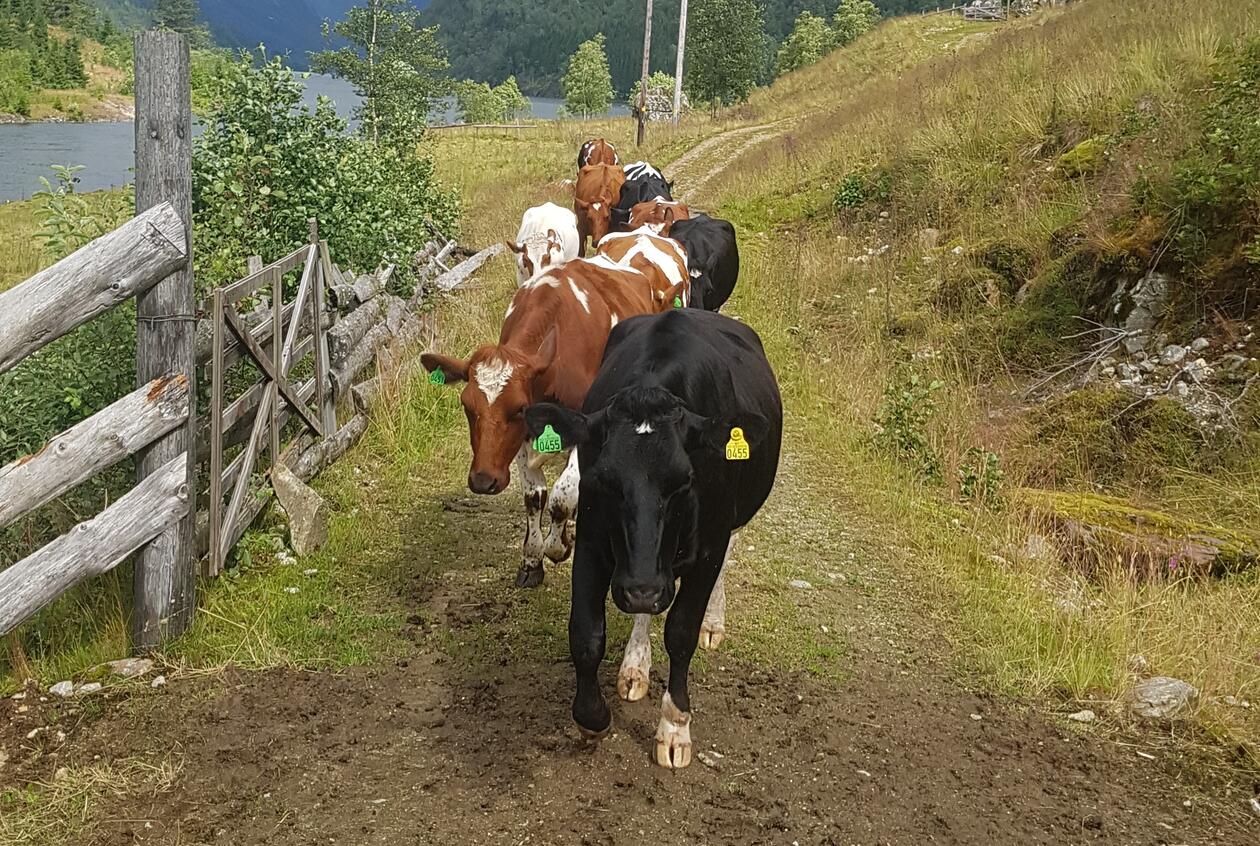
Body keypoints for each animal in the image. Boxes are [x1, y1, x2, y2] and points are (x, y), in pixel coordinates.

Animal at [418, 258, 685, 590]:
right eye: (467, 406)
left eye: (519, 408)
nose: (483, 480)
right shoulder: (522, 440)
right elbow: (534, 497)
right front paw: (532, 559)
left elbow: (562, 496)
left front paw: (558, 547)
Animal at [521, 308, 776, 766]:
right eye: (605, 480)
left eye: (684, 481)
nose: (641, 589)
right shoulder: (593, 542)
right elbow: (585, 633)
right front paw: (592, 717)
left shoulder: (708, 548)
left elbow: (681, 632)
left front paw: (675, 727)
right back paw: (634, 665)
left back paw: (712, 622)